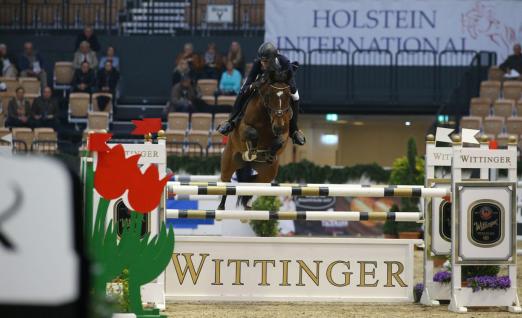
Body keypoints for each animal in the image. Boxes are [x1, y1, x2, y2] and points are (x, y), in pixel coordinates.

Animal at [217, 71, 294, 210]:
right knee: (226, 183)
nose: (278, 127)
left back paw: (247, 202)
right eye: (269, 95)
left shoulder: (284, 133)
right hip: (228, 162)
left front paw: (270, 154)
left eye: (287, 96)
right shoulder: (243, 128)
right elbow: (252, 133)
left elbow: (279, 141)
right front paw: (252, 150)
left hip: (268, 174)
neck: (266, 116)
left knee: (253, 183)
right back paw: (221, 208)